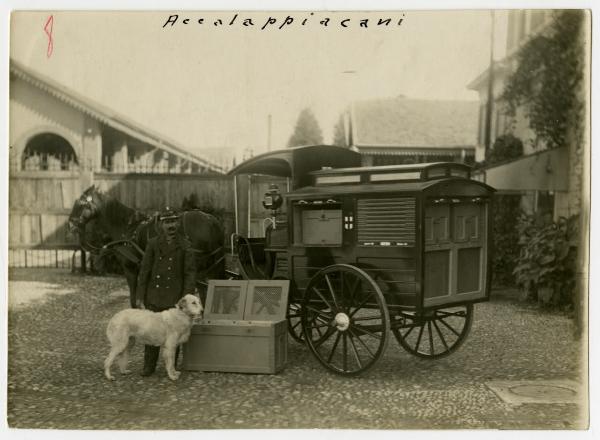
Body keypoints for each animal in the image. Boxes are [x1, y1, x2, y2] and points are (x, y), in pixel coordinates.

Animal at [68, 185, 226, 306]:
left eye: (80, 204)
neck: (127, 227)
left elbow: (134, 299)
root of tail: (210, 220)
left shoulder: (130, 269)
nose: (71, 225)